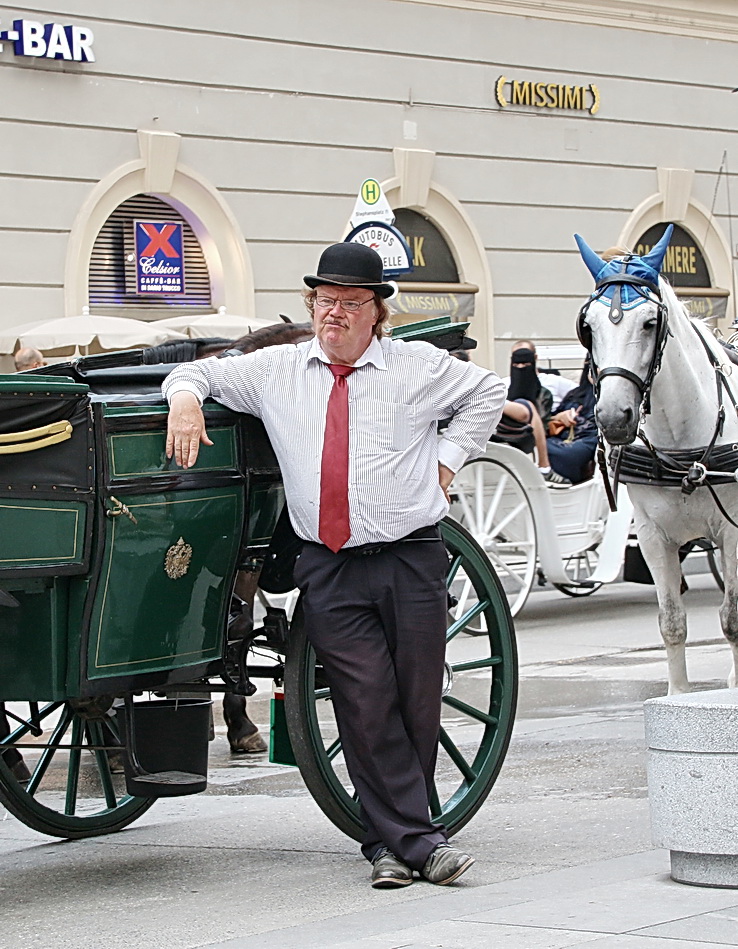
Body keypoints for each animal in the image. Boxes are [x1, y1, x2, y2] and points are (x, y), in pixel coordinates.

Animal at [576, 225, 736, 692]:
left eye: (650, 323)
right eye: (588, 327)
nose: (614, 417)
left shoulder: (731, 533)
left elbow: (731, 619)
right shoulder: (652, 536)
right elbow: (672, 623)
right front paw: (678, 693)